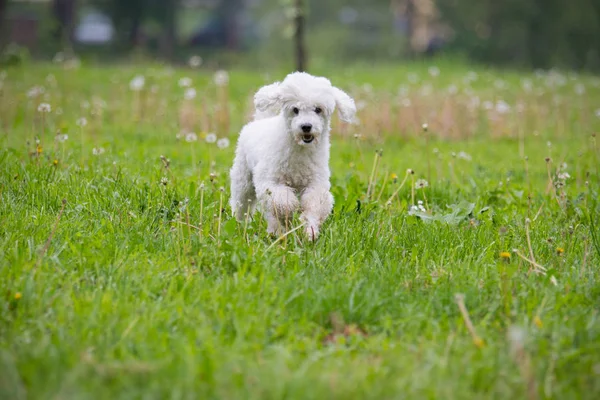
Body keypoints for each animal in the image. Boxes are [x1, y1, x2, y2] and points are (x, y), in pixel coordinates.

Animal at [227, 71, 354, 241]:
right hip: (243, 179)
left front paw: (309, 232)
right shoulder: (270, 182)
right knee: (242, 204)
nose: (306, 126)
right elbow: (283, 202)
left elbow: (314, 205)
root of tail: (260, 120)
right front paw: (289, 213)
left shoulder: (316, 183)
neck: (300, 150)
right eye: (295, 109)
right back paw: (241, 224)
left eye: (318, 109)